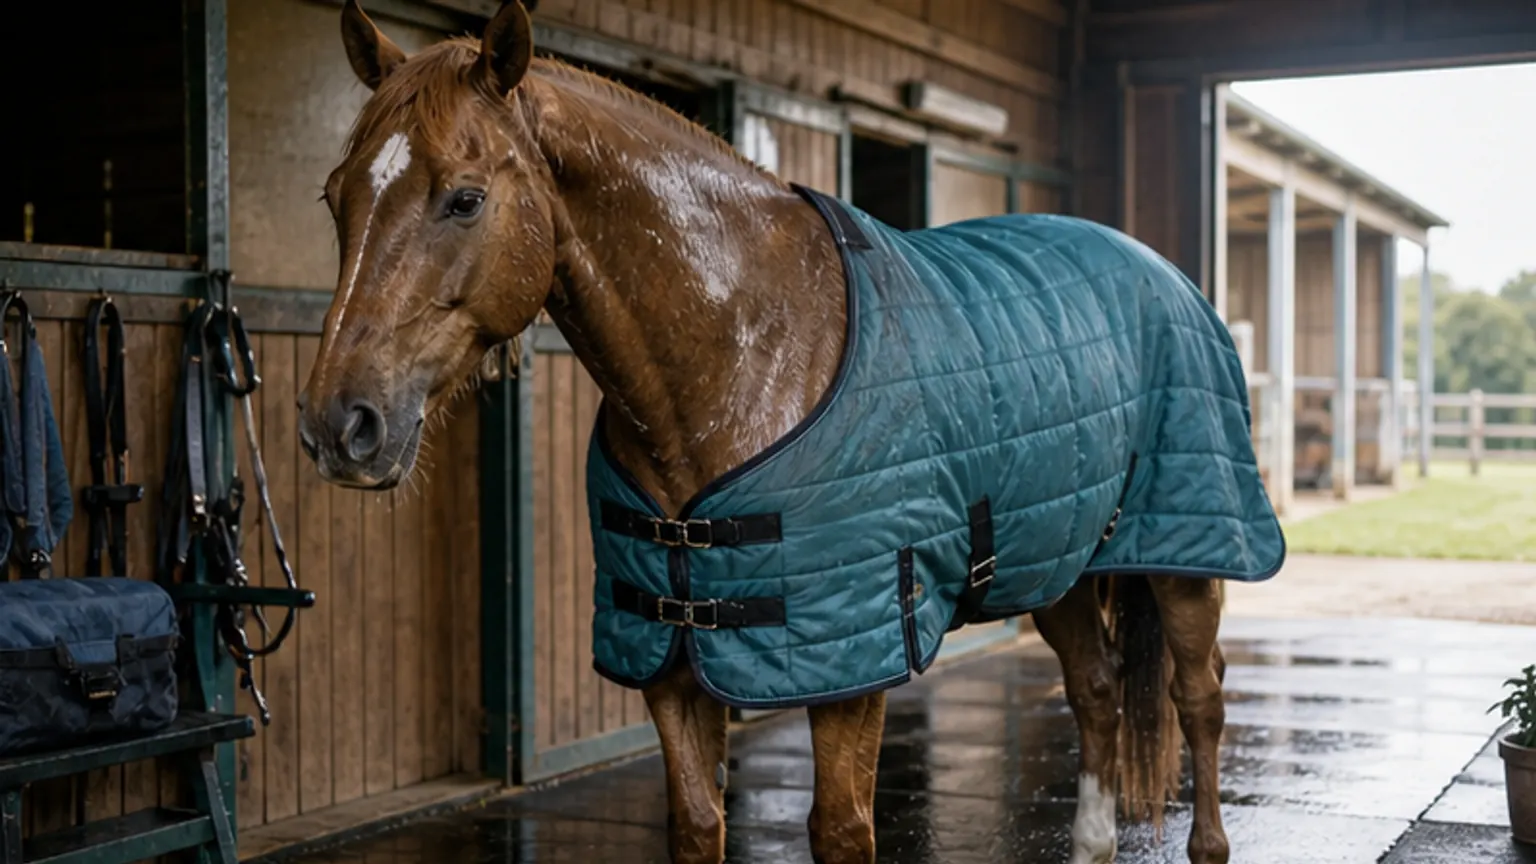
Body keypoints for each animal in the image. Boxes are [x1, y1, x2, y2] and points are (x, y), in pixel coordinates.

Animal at [297, 3, 1284, 862]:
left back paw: (1208, 840)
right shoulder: (674, 658)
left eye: (464, 200)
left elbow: (840, 831)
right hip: (1063, 561)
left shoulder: (850, 660)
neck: (746, 348)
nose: (339, 424)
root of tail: (1161, 270)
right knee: (1098, 692)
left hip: (1187, 555)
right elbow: (699, 824)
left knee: (1199, 696)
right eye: (334, 196)